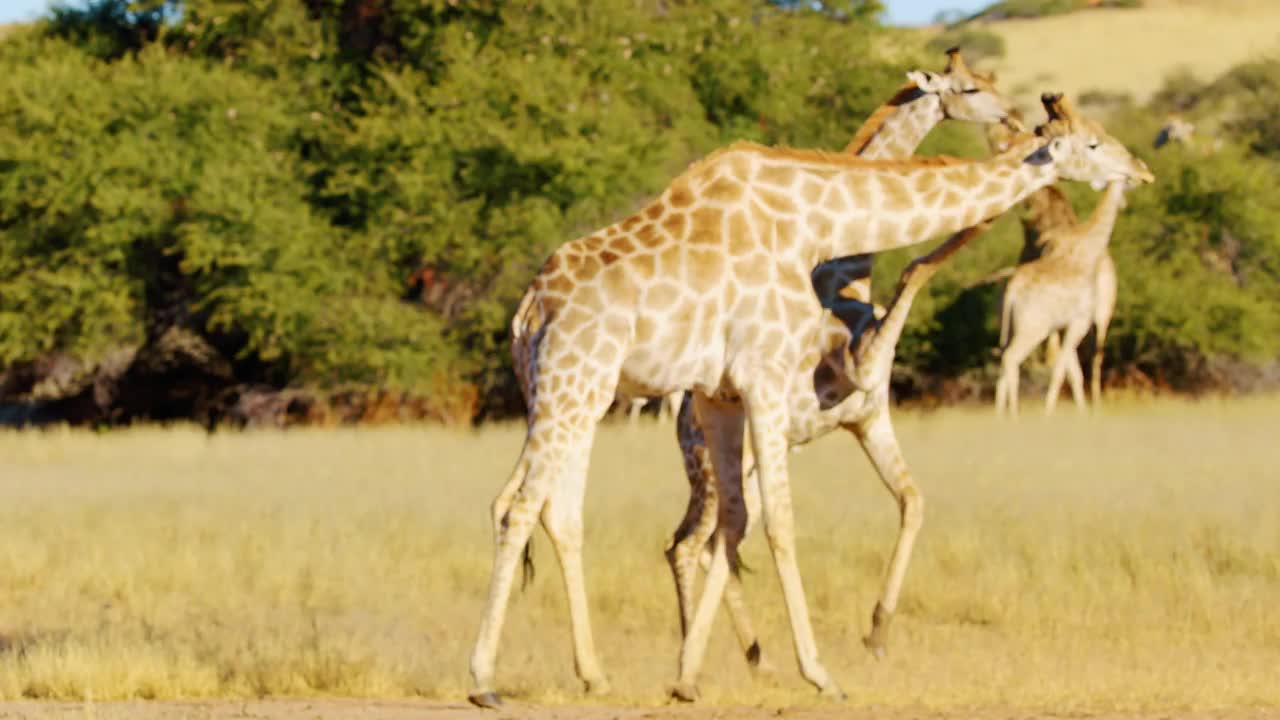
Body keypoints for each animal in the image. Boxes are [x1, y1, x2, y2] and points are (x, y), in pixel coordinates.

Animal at [665, 47, 1013, 676]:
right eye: (971, 88)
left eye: (989, 78)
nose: (1014, 116)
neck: (847, 269)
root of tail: (678, 412)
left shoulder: (867, 418)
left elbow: (913, 502)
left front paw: (877, 631)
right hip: (711, 463)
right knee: (687, 544)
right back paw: (704, 658)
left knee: (710, 541)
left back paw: (756, 655)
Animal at [993, 172, 1146, 415]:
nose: (1125, 203)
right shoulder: (1077, 322)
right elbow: (1068, 366)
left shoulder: (1070, 324)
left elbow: (1069, 367)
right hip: (1038, 327)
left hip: (1021, 328)